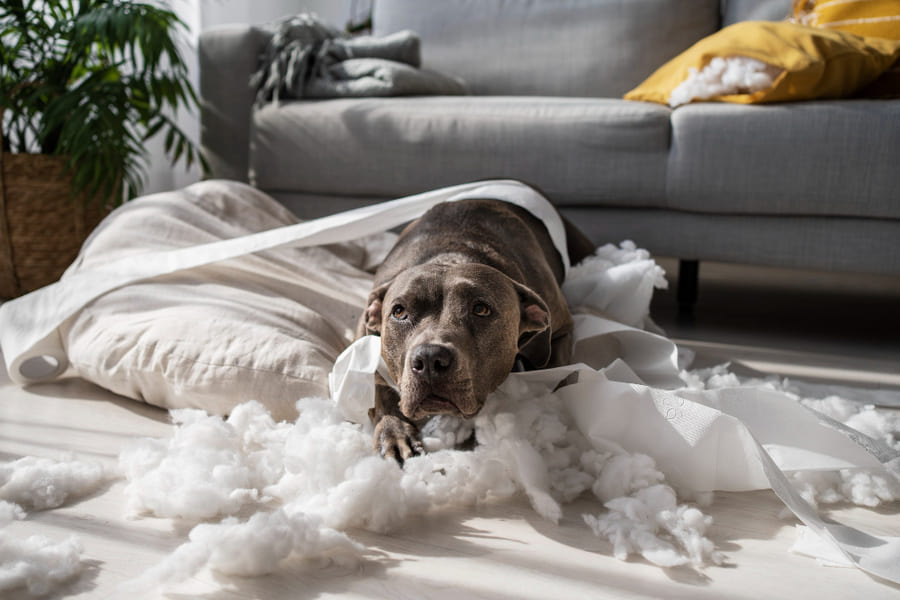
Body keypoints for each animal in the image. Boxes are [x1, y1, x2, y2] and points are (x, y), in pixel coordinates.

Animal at [356, 195, 596, 462]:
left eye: (481, 309)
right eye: (399, 312)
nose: (429, 359)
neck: (452, 254)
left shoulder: (562, 329)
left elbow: (557, 377)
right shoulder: (363, 331)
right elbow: (378, 385)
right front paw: (394, 431)